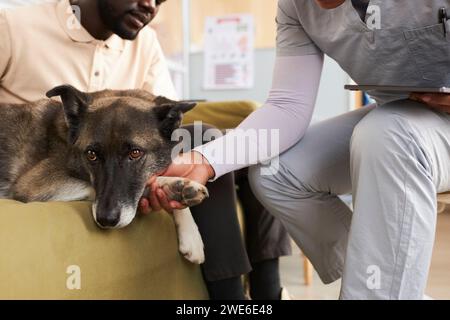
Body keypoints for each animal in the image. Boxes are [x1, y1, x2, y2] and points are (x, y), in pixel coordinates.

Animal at [0, 84, 209, 264]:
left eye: (135, 153)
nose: (106, 220)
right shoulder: (32, 184)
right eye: (91, 154)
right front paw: (173, 188)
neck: (67, 136)